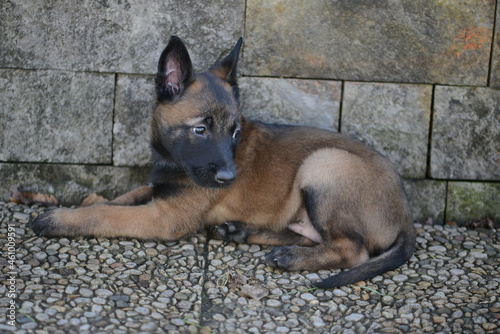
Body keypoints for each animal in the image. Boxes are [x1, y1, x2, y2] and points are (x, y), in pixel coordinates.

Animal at [29, 36, 416, 288]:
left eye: (235, 132)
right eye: (200, 129)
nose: (231, 177)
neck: (173, 162)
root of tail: (405, 210)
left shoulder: (165, 218)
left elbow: (108, 213)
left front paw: (59, 218)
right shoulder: (160, 189)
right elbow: (126, 195)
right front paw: (87, 202)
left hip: (324, 163)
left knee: (353, 250)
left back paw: (292, 257)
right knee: (314, 235)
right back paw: (243, 231)